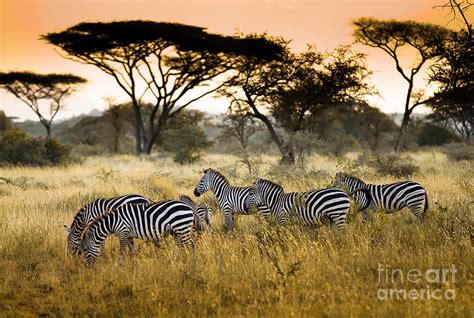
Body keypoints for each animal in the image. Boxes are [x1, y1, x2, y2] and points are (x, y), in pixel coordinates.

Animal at [243, 176, 372, 229]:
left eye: (250, 193)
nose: (245, 207)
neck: (276, 201)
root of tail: (344, 193)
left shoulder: (283, 221)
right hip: (334, 217)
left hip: (337, 214)